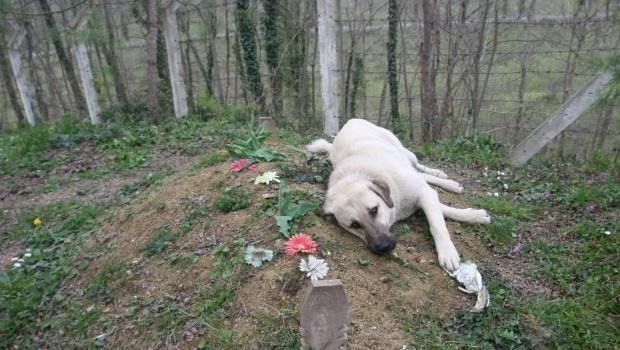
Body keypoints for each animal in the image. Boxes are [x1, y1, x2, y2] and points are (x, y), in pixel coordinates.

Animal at [308, 119, 492, 272]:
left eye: (374, 210)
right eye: (354, 225)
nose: (384, 247)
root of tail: (349, 122)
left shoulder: (423, 193)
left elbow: (437, 224)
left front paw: (447, 251)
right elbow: (441, 210)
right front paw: (475, 215)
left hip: (405, 152)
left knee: (420, 168)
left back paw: (443, 178)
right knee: (420, 174)